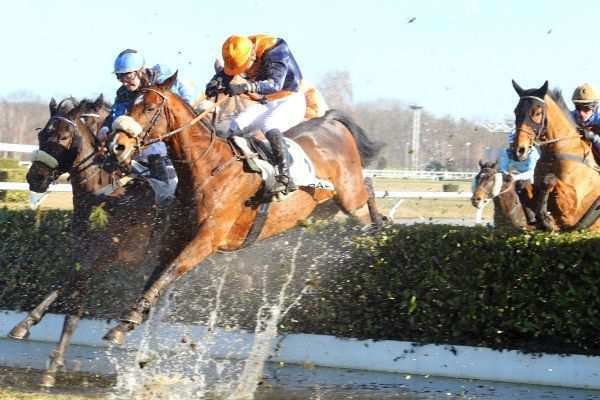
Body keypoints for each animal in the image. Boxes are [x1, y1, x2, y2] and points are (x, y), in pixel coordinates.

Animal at [10, 95, 161, 386]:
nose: (36, 178)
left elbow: (71, 304)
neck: (103, 196)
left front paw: (51, 362)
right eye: (42, 135)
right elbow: (65, 291)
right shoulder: (85, 255)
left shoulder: (102, 257)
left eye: (65, 137)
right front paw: (27, 327)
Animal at [105, 73, 386, 346]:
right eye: (129, 105)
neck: (208, 168)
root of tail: (329, 121)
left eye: (149, 108)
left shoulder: (207, 238)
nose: (117, 146)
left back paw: (379, 234)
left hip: (349, 195)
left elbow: (171, 271)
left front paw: (132, 317)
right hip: (322, 208)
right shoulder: (174, 236)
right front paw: (125, 323)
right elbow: (156, 274)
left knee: (368, 189)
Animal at [508, 80, 600, 231]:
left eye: (537, 112)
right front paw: (534, 217)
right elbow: (521, 184)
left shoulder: (574, 208)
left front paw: (546, 218)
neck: (554, 154)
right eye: (516, 111)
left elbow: (549, 180)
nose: (519, 151)